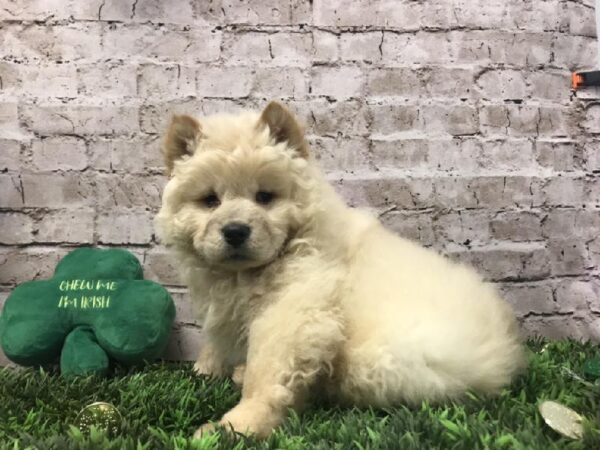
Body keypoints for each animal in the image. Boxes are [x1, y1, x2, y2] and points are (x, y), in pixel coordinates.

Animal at [156, 102, 524, 440]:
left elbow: (269, 371)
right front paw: (206, 369)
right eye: (210, 201)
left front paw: (234, 426)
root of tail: (503, 355)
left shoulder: (293, 309)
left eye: (264, 197)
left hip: (381, 358)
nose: (234, 231)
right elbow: (215, 342)